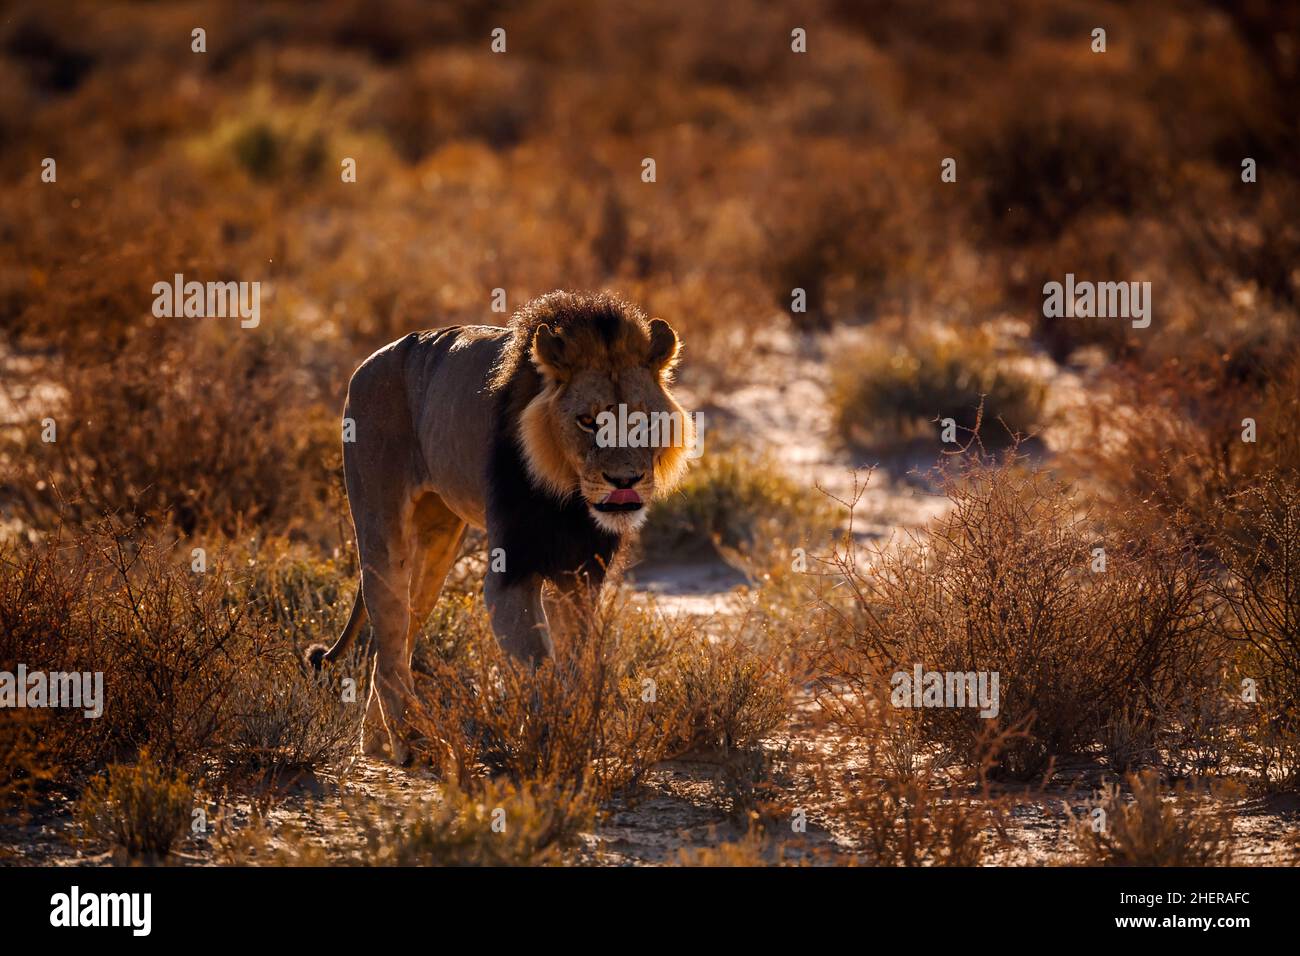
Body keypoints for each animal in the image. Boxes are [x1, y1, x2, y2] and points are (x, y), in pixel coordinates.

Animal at [306, 290, 691, 764]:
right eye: (588, 421)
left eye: (642, 420)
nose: (625, 482)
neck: (569, 497)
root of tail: (370, 362)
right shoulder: (511, 573)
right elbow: (538, 664)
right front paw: (549, 741)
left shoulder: (582, 578)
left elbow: (573, 663)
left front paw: (575, 734)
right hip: (381, 531)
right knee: (392, 639)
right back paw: (415, 744)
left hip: (438, 543)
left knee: (395, 642)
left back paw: (380, 742)